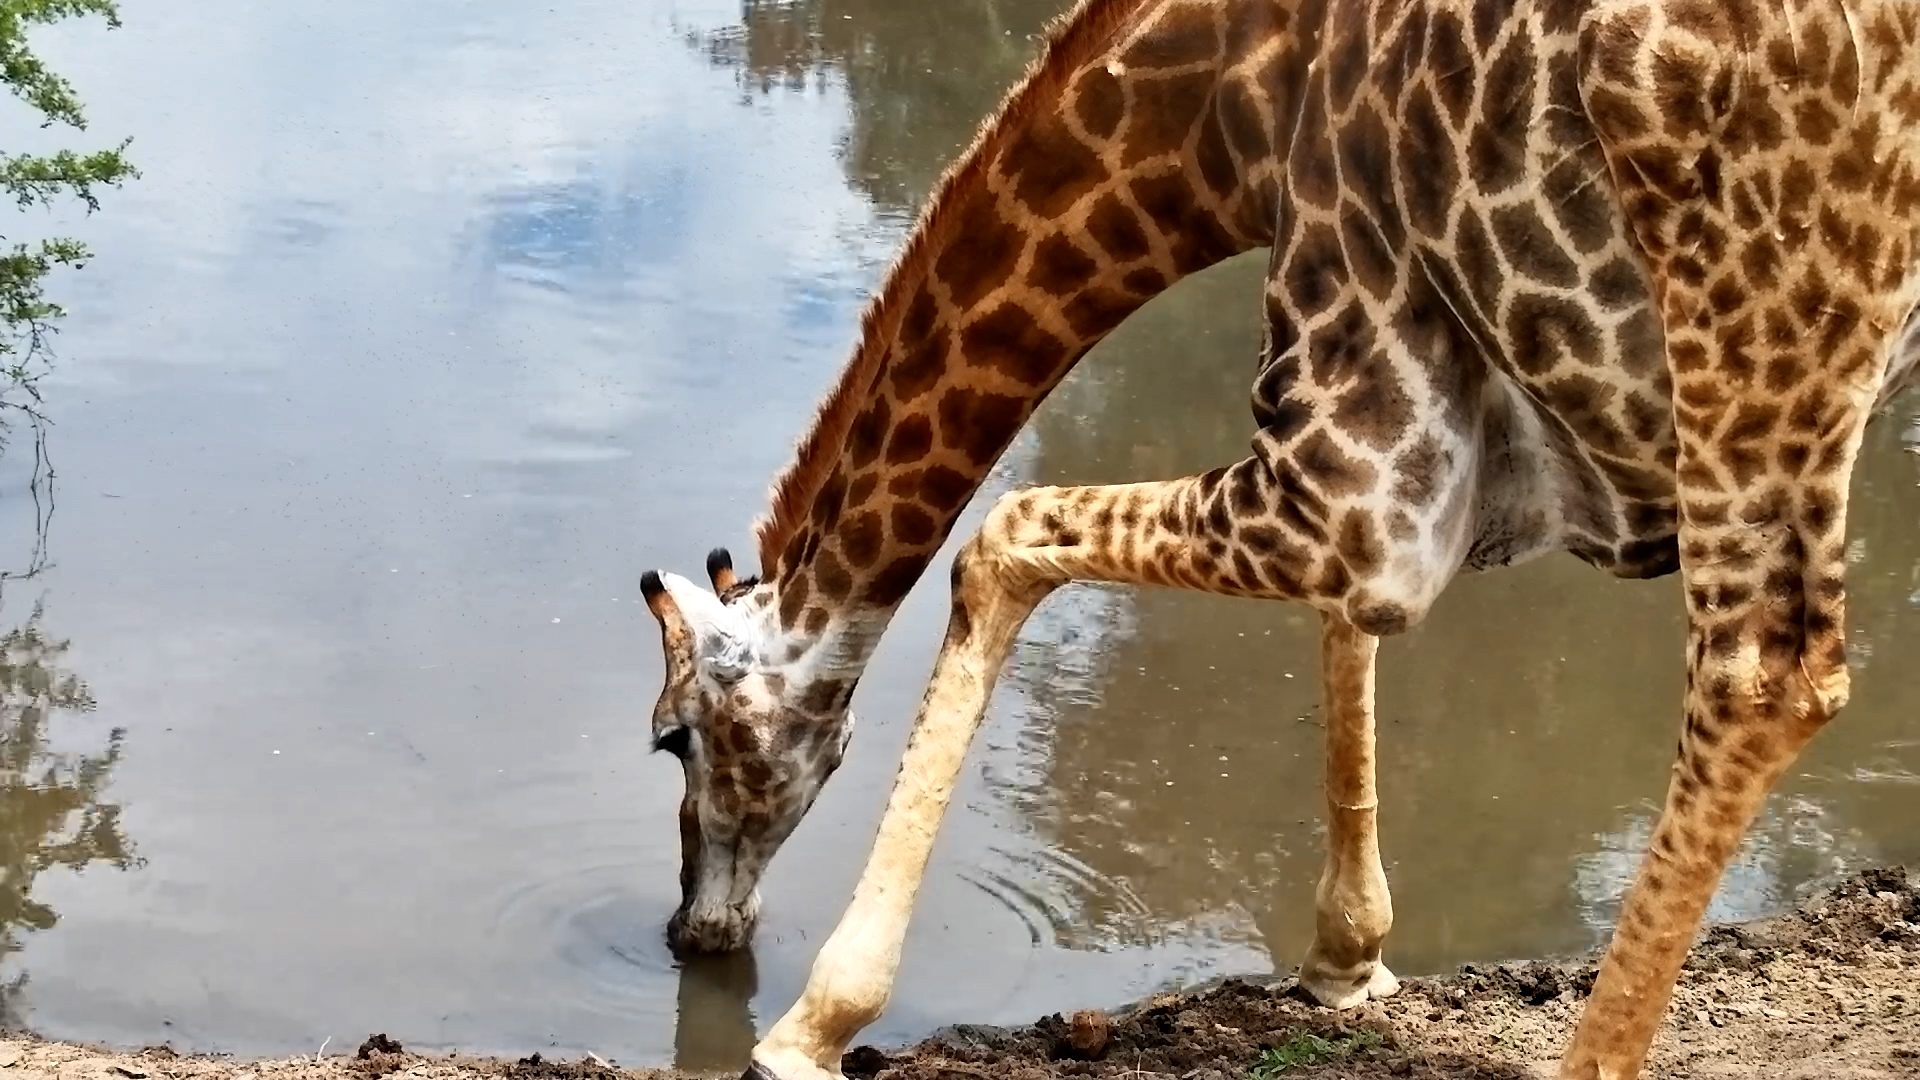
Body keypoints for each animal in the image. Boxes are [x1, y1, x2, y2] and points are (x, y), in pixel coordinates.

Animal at [637, 0, 1920, 1076]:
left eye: (672, 739)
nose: (692, 930)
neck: (1229, 112)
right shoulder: (1408, 491)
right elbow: (1348, 626)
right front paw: (1350, 960)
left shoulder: (1359, 464)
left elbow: (1001, 534)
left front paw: (812, 1023)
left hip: (1759, 327)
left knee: (1764, 679)